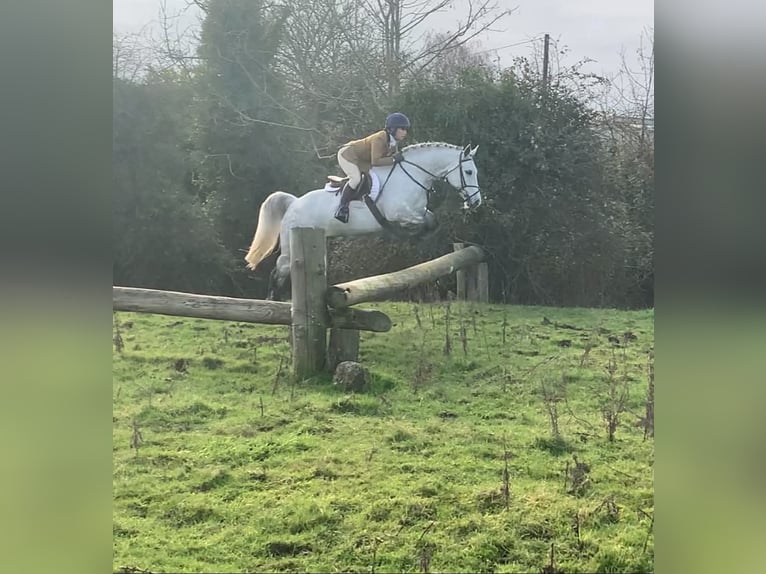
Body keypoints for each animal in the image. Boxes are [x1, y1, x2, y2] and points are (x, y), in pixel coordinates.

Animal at [244, 142, 482, 299]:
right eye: (469, 172)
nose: (477, 202)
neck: (411, 176)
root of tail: (294, 202)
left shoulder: (418, 210)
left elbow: (432, 221)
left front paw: (421, 236)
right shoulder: (400, 212)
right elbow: (418, 223)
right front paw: (403, 233)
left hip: (317, 241)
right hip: (292, 241)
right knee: (280, 270)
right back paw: (272, 301)